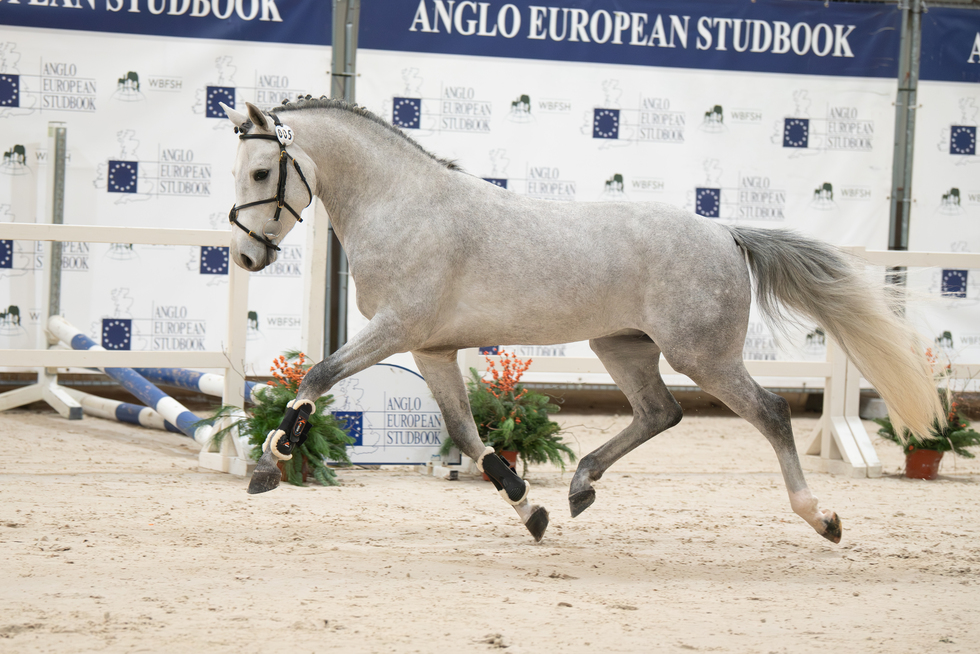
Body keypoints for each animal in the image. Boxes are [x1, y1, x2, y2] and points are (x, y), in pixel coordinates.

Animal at [220, 98, 942, 545]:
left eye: (260, 171)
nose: (246, 255)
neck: (404, 205)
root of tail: (726, 233)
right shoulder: (432, 349)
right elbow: (467, 433)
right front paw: (530, 508)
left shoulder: (397, 330)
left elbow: (318, 376)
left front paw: (271, 459)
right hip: (622, 347)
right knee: (660, 413)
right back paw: (579, 485)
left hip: (703, 355)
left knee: (769, 412)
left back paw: (820, 517)